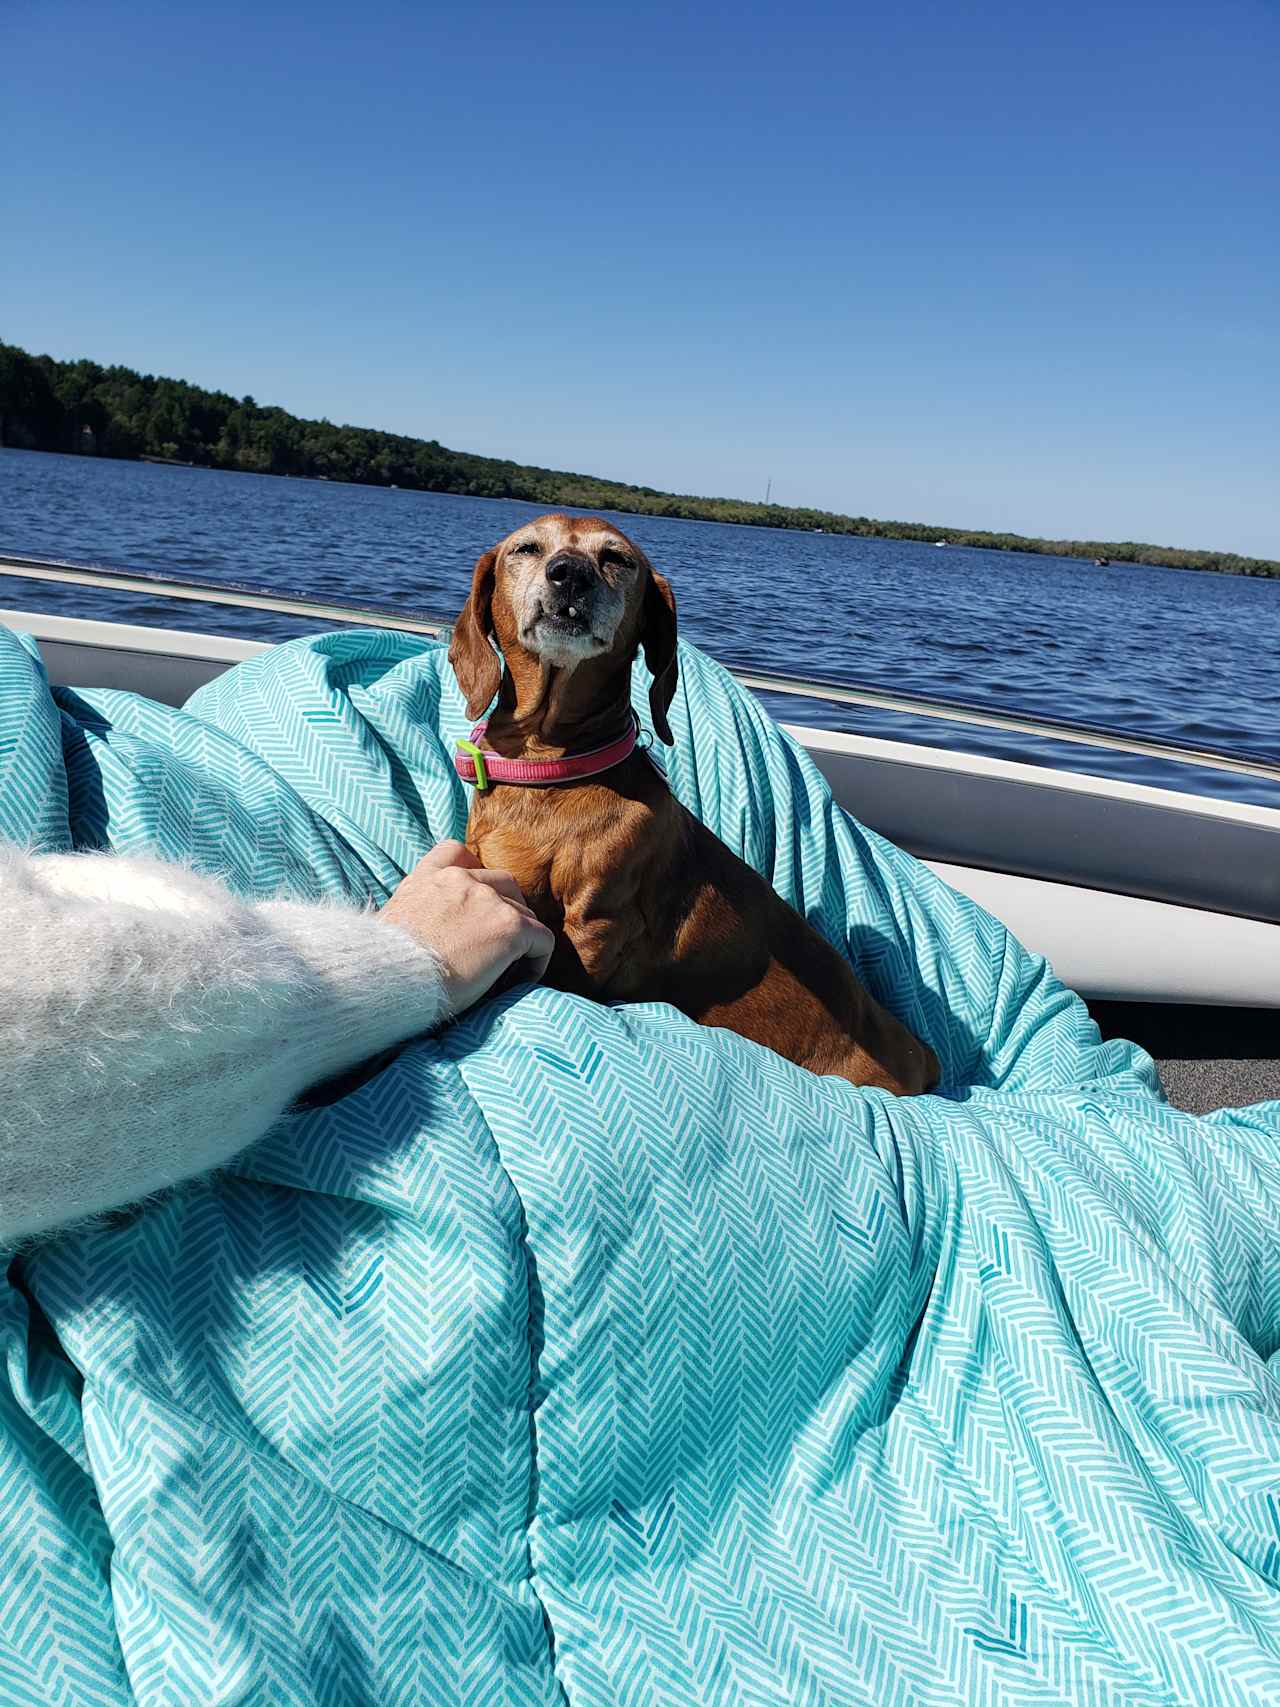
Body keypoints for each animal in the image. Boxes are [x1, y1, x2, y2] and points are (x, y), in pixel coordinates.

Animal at [450, 512, 942, 1092]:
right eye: (525, 548)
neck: (551, 770)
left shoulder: (593, 928)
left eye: (617, 559)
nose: (569, 573)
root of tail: (920, 1054)